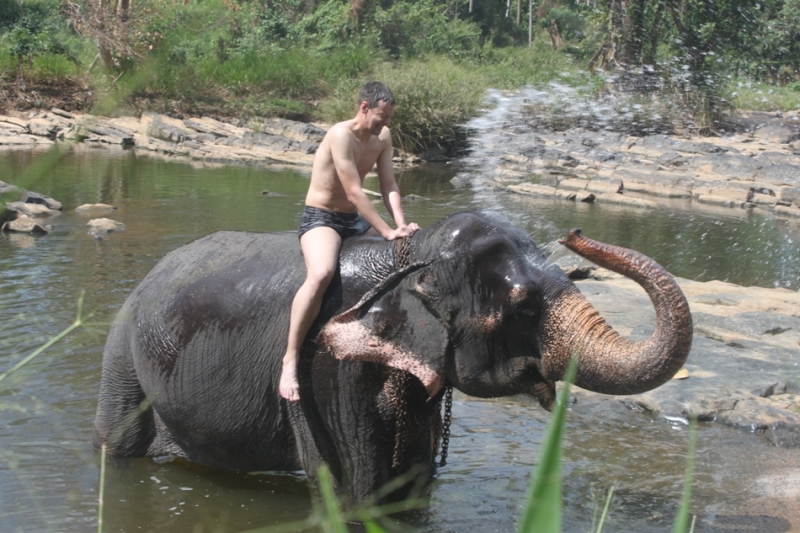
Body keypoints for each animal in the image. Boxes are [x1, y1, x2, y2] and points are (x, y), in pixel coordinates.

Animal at [94, 209, 692, 502]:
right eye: (522, 307)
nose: (576, 231)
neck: (413, 256)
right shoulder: (326, 368)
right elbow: (353, 487)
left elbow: (411, 484)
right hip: (122, 349)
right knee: (117, 445)